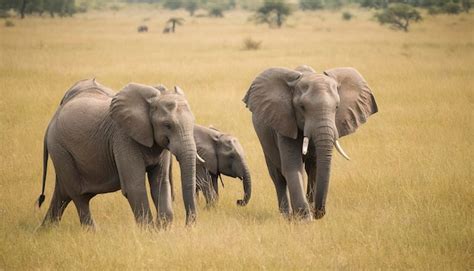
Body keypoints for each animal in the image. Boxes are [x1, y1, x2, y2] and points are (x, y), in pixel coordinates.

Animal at [36, 79, 199, 230]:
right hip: (60, 149)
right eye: (167, 125)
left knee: (63, 193)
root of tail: (52, 120)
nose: (188, 226)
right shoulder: (123, 138)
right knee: (78, 195)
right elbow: (134, 186)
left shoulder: (159, 145)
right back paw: (92, 232)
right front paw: (149, 232)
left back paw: (45, 230)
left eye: (193, 122)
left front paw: (162, 229)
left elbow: (160, 183)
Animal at [244, 65, 378, 221]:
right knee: (278, 176)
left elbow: (316, 167)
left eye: (337, 107)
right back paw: (286, 215)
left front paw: (309, 214)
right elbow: (292, 167)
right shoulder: (285, 123)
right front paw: (304, 219)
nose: (319, 213)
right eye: (302, 107)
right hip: (265, 139)